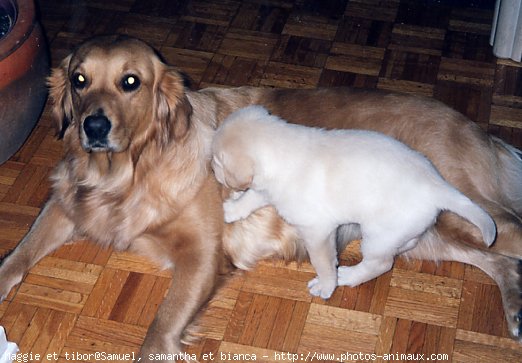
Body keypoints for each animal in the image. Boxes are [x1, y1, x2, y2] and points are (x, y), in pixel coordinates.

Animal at [0, 34, 516, 362]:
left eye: (131, 81)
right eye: (79, 80)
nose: (94, 127)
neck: (130, 173)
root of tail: (475, 127)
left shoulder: (202, 256)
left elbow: (158, 330)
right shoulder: (64, 206)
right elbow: (15, 256)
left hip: (459, 219)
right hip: (426, 233)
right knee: (498, 262)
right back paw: (513, 308)